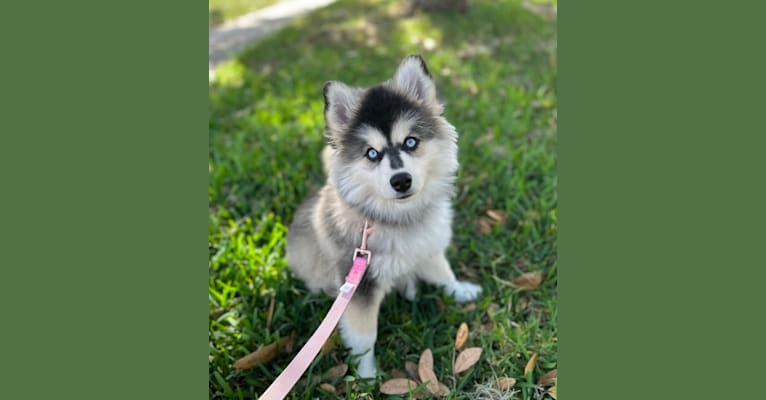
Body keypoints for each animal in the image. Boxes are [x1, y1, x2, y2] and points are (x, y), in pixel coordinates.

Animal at [286, 55, 480, 378]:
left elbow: (443, 274)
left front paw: (460, 291)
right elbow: (364, 336)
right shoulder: (359, 286)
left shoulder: (427, 247)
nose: (400, 181)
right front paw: (366, 375)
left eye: (411, 142)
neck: (399, 218)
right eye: (372, 154)